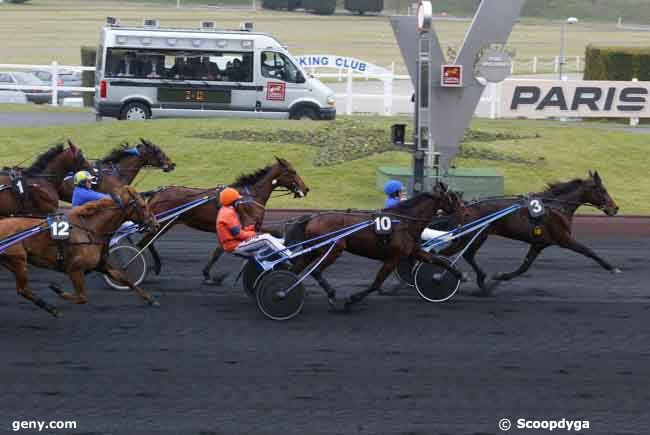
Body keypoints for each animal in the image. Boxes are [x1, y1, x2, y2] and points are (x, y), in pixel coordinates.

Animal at [0, 185, 158, 316]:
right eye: (143, 206)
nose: (155, 224)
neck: (91, 229)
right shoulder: (75, 269)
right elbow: (82, 298)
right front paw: (58, 290)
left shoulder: (101, 265)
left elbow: (125, 279)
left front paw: (151, 299)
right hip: (18, 260)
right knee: (23, 289)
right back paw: (52, 309)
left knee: (23, 290)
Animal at [139, 157, 308, 282]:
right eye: (292, 171)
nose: (306, 189)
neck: (248, 196)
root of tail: (157, 194)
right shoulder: (247, 226)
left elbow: (218, 251)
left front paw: (207, 273)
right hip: (163, 223)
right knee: (143, 243)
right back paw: (151, 267)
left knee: (147, 242)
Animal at [284, 186, 460, 312]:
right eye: (453, 197)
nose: (463, 207)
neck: (404, 221)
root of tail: (312, 218)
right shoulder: (393, 258)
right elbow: (376, 284)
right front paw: (351, 300)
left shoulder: (414, 251)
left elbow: (438, 260)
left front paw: (458, 274)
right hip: (334, 249)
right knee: (316, 271)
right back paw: (330, 294)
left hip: (313, 251)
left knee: (294, 271)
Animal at [438, 170, 620, 296]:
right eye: (602, 190)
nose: (615, 208)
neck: (557, 207)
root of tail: (464, 207)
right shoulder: (564, 238)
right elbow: (588, 251)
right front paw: (612, 268)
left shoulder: (539, 244)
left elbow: (524, 267)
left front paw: (500, 277)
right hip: (471, 237)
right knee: (446, 254)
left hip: (475, 237)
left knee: (463, 255)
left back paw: (481, 281)